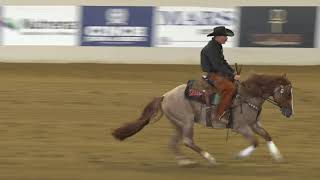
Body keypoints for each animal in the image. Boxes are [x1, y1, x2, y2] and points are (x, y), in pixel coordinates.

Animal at [112, 73, 292, 166]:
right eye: (285, 92)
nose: (289, 112)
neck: (247, 96)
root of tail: (164, 96)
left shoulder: (254, 123)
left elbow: (267, 136)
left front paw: (277, 156)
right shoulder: (240, 126)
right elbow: (255, 142)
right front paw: (240, 156)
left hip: (178, 124)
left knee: (174, 143)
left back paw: (185, 161)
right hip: (187, 122)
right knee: (187, 141)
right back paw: (209, 158)